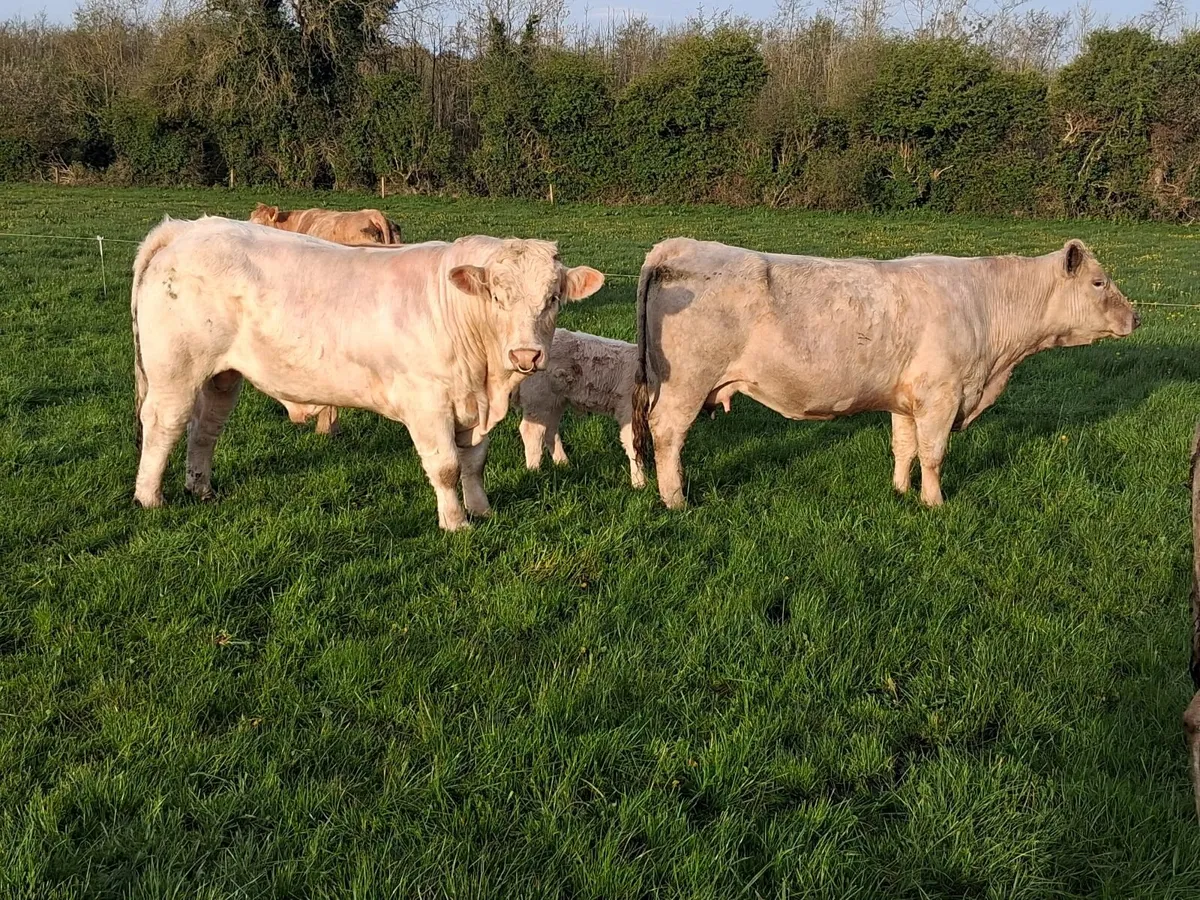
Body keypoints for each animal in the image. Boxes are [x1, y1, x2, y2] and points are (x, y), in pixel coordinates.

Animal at [130, 216, 604, 530]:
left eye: (553, 297)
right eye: (497, 296)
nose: (527, 354)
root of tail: (187, 228)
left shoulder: (473, 405)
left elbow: (474, 461)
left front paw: (482, 509)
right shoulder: (427, 403)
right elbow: (446, 467)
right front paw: (456, 523)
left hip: (221, 375)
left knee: (205, 428)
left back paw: (201, 489)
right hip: (176, 368)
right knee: (163, 424)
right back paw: (150, 498)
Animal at [514, 329, 645, 487]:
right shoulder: (629, 410)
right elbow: (634, 445)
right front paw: (639, 484)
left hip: (556, 400)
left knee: (550, 430)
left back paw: (563, 464)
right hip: (538, 397)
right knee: (532, 430)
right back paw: (534, 471)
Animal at [631, 238, 1139, 509]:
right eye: (1099, 282)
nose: (1136, 317)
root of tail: (678, 246)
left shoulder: (907, 399)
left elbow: (904, 448)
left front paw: (900, 491)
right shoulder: (941, 394)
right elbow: (933, 453)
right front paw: (934, 503)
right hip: (686, 384)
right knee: (667, 434)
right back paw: (675, 500)